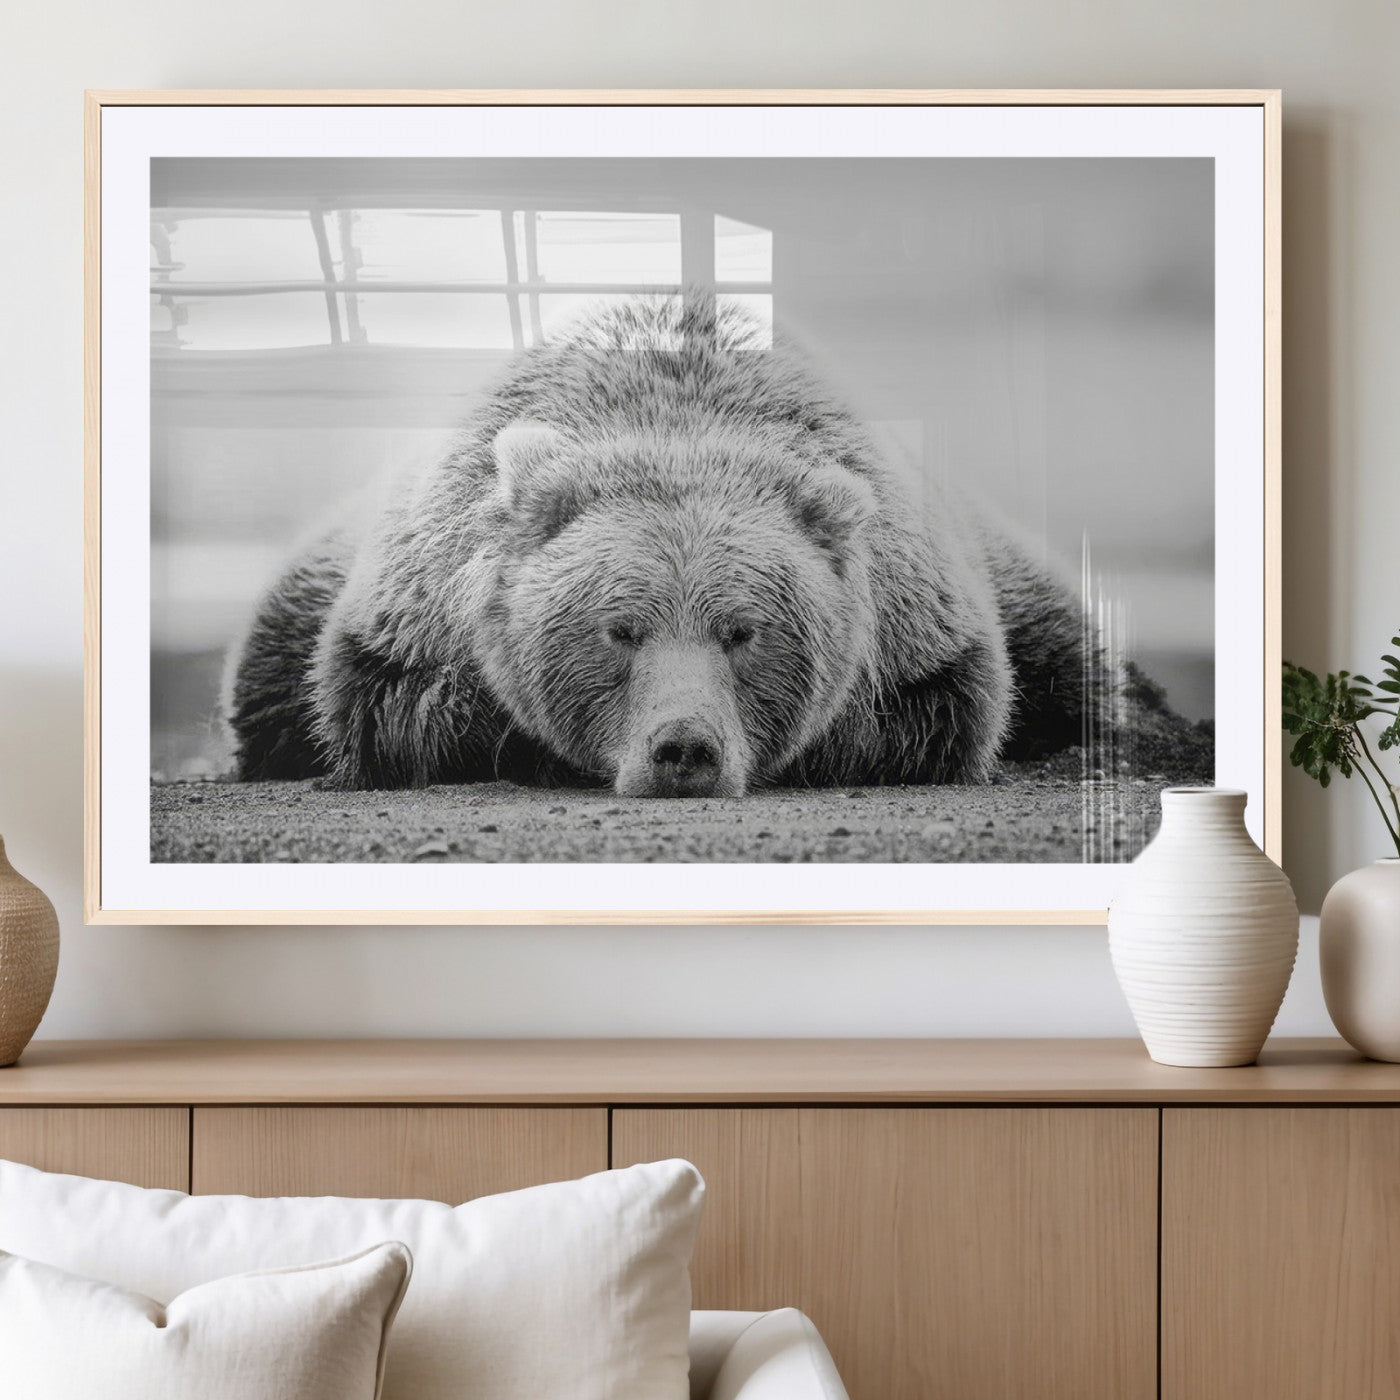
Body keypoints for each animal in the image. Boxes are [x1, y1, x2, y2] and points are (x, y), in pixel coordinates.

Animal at [224, 294, 1089, 798]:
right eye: (620, 629)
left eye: (743, 631)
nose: (684, 748)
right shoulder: (416, 608)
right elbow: (394, 705)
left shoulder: (920, 624)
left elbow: (941, 709)